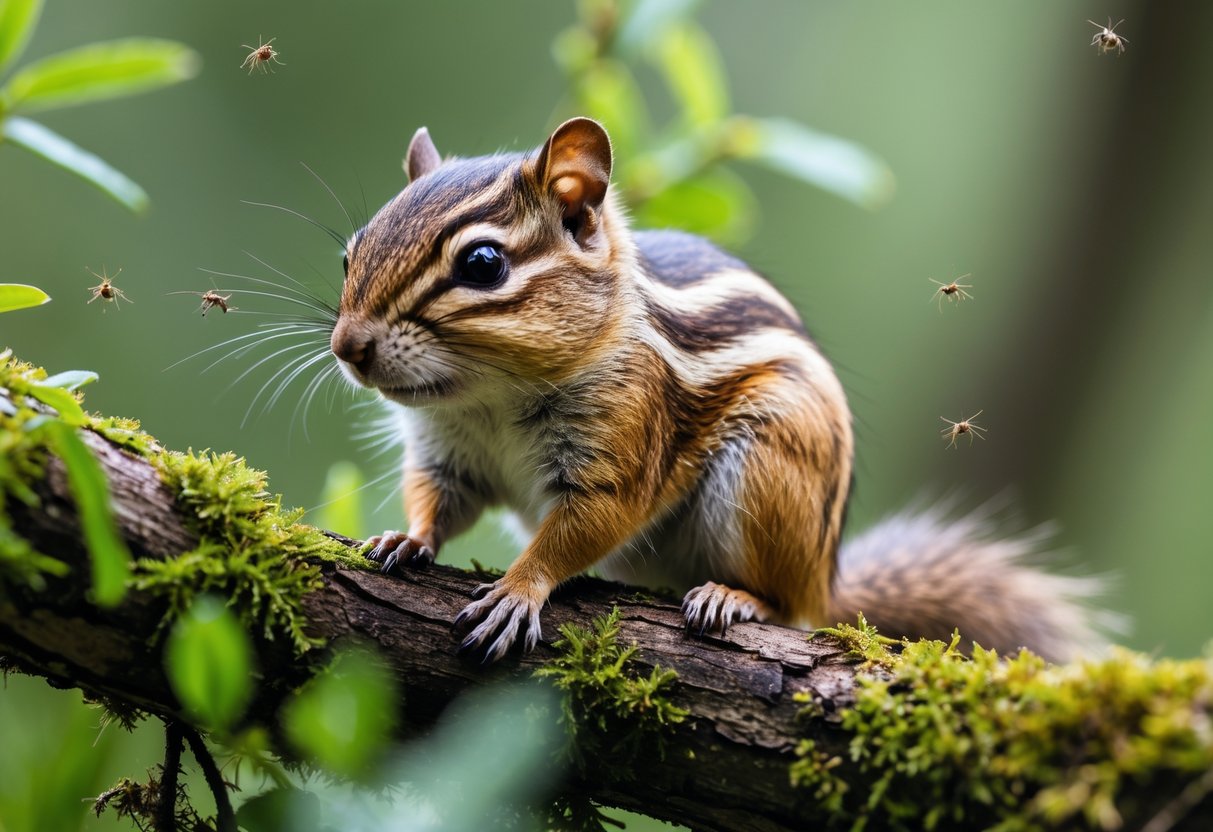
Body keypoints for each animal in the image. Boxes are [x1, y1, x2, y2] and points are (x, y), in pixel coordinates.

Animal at [329, 117, 1105, 664]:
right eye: (351, 251)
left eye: (483, 263)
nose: (347, 348)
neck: (487, 396)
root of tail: (826, 578)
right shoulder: (447, 455)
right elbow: (438, 500)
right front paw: (405, 536)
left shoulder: (623, 445)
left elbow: (580, 529)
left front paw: (518, 592)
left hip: (766, 467)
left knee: (784, 604)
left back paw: (733, 597)